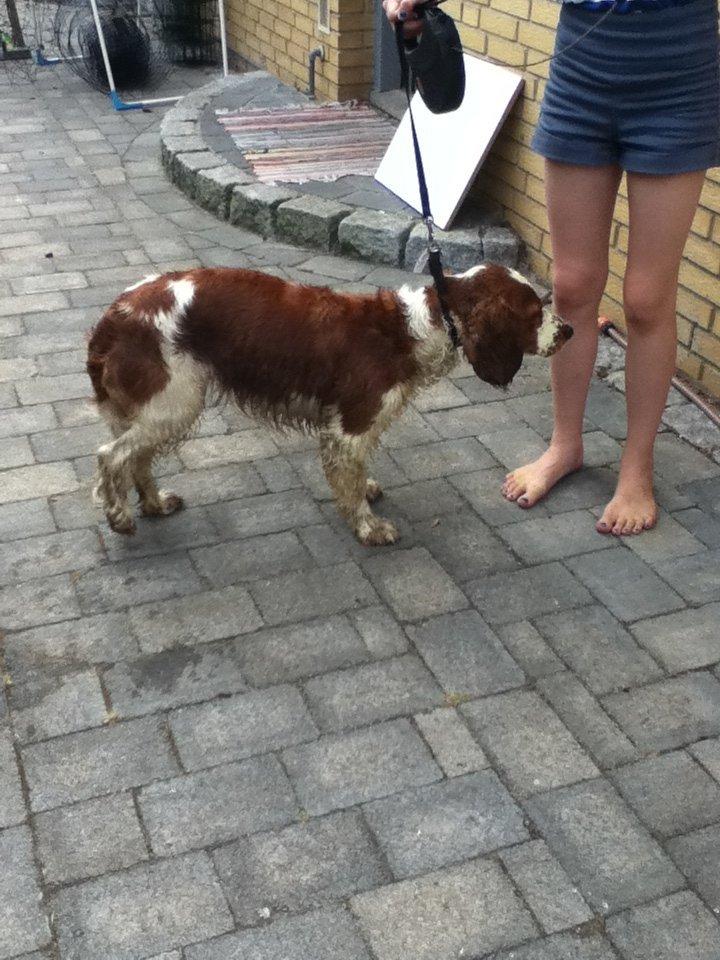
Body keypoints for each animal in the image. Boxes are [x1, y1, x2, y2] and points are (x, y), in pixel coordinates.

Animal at [87, 266, 572, 544]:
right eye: (536, 311)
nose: (568, 331)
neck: (415, 328)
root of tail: (113, 315)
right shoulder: (350, 427)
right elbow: (349, 483)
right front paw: (369, 527)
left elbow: (356, 475)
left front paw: (367, 493)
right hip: (174, 402)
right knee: (111, 456)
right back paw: (119, 517)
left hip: (157, 409)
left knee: (136, 458)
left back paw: (153, 503)